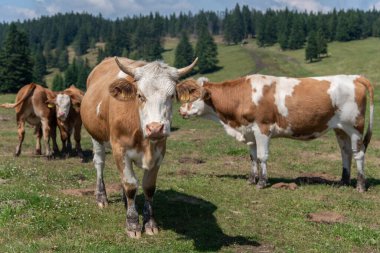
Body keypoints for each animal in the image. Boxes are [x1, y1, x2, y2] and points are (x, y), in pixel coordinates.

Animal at [81, 56, 199, 238]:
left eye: (172, 95)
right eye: (140, 95)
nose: (155, 128)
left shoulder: (159, 153)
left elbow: (149, 187)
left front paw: (150, 223)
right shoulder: (120, 149)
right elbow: (130, 185)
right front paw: (133, 224)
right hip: (96, 136)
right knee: (99, 163)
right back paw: (101, 197)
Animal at [177, 75, 374, 192]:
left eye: (193, 97)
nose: (180, 111)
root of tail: (354, 77)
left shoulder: (262, 129)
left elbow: (262, 156)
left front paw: (262, 182)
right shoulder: (250, 132)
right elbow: (253, 157)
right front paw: (251, 179)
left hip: (355, 128)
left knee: (359, 154)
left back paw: (360, 185)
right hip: (340, 129)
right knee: (345, 152)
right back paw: (343, 182)